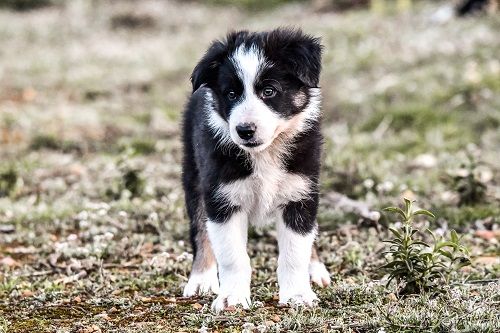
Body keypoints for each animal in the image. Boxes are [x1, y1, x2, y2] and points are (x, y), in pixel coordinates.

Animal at [182, 27, 330, 312]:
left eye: (269, 91)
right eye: (231, 94)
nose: (244, 130)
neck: (264, 153)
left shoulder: (300, 193)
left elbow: (295, 252)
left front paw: (298, 295)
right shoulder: (222, 198)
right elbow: (232, 256)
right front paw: (231, 298)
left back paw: (315, 269)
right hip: (193, 173)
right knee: (200, 228)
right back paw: (201, 279)